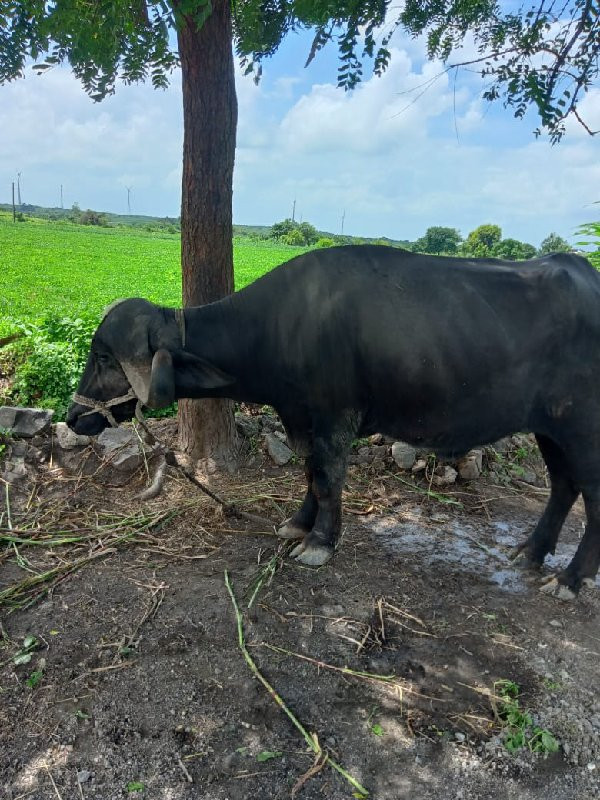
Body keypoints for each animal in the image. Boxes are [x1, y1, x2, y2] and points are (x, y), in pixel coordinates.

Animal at [67, 247, 600, 596]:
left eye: (103, 356)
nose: (73, 417)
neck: (280, 327)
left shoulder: (333, 420)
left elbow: (328, 480)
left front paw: (321, 542)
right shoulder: (303, 420)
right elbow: (310, 475)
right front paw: (299, 525)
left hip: (584, 429)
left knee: (591, 496)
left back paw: (570, 578)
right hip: (551, 428)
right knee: (563, 486)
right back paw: (531, 552)